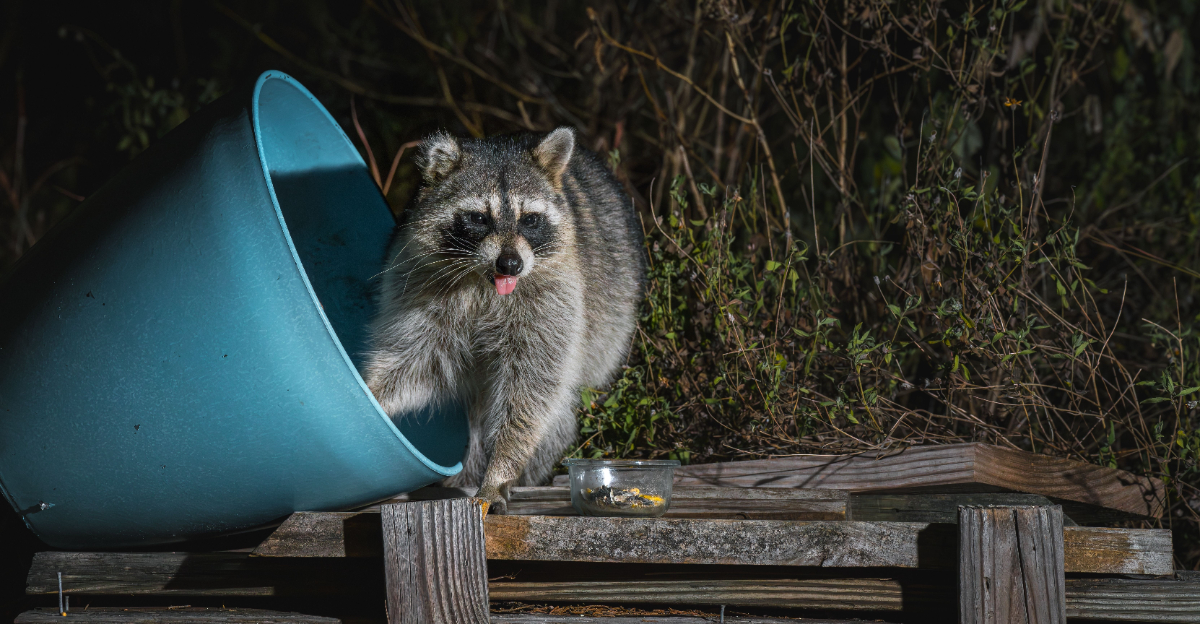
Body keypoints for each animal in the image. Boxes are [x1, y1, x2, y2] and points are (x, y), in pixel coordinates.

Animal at [362, 127, 645, 512]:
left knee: (558, 413)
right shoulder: (418, 287)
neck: (484, 282)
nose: (510, 264)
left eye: (530, 219)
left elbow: (531, 389)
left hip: (613, 319)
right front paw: (369, 395)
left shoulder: (555, 298)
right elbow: (414, 360)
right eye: (479, 218)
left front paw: (500, 471)